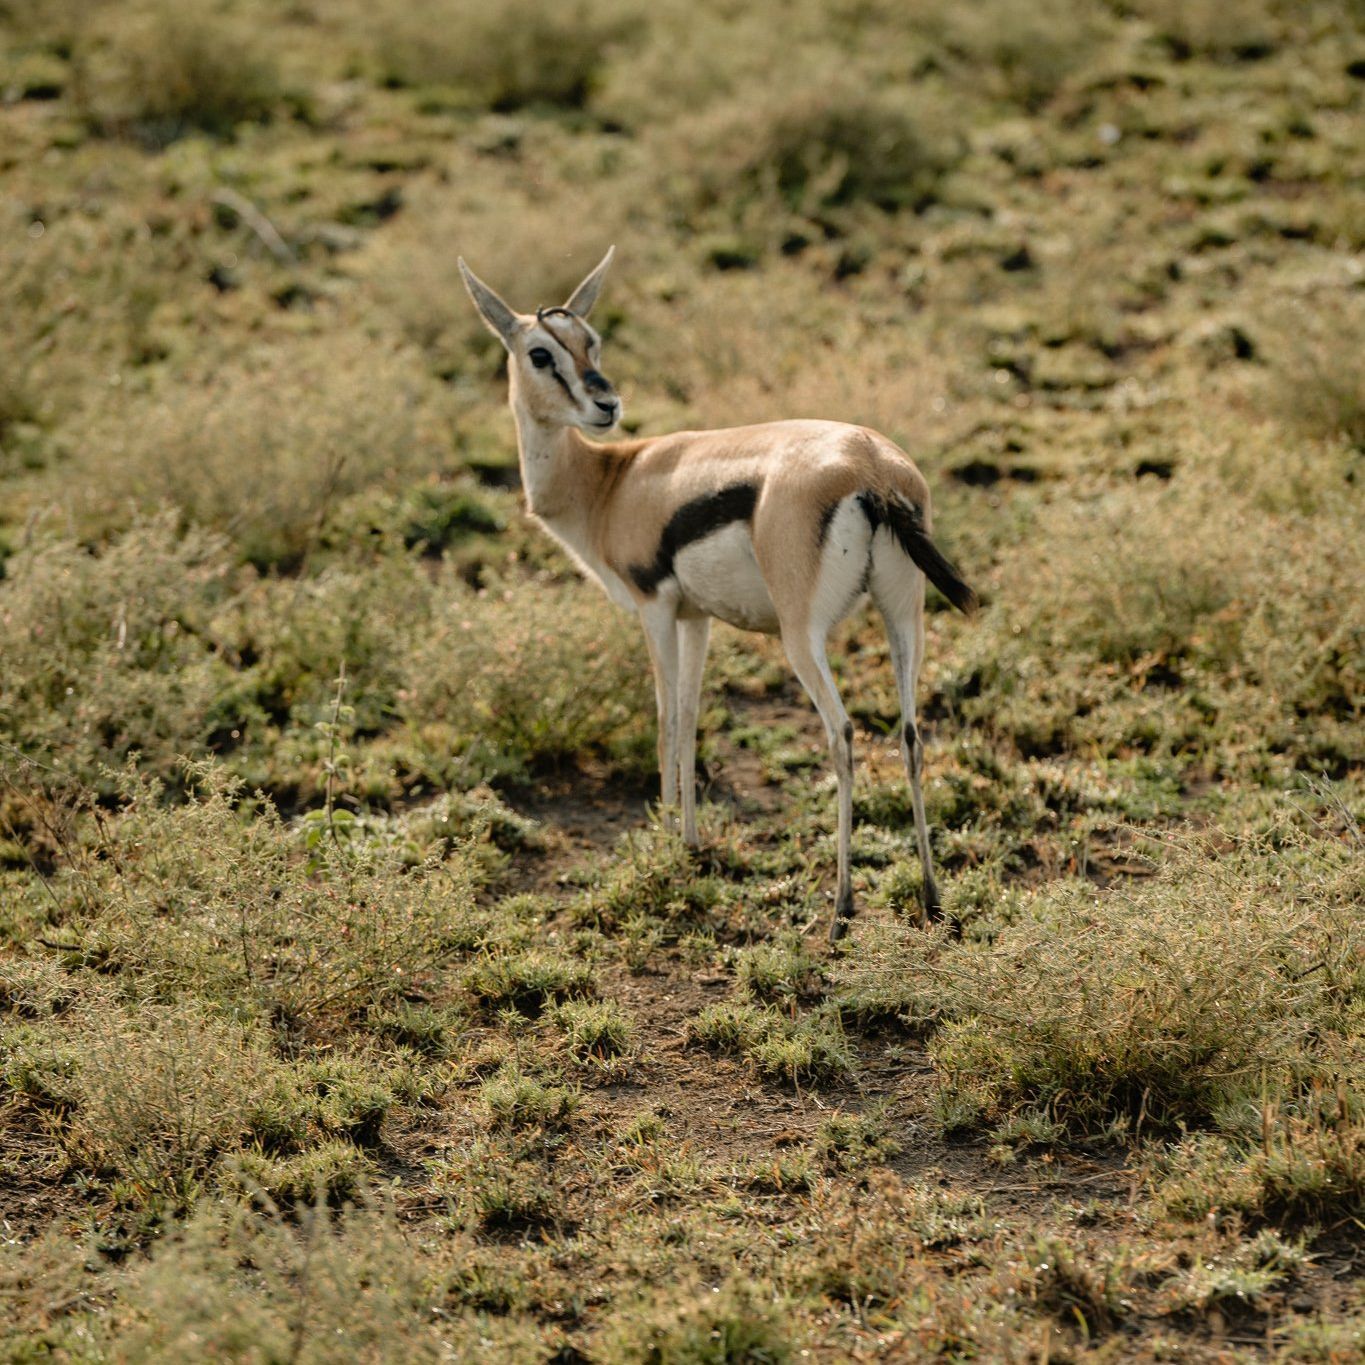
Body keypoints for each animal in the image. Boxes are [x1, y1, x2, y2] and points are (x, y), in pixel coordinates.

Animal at [459, 248, 977, 943]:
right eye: (543, 352)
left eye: (589, 340)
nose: (605, 404)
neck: (610, 482)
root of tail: (869, 466)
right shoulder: (695, 619)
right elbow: (693, 717)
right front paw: (689, 839)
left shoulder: (653, 609)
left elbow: (666, 721)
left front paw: (663, 840)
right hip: (905, 618)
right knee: (912, 734)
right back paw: (932, 898)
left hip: (801, 636)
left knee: (842, 734)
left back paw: (840, 910)